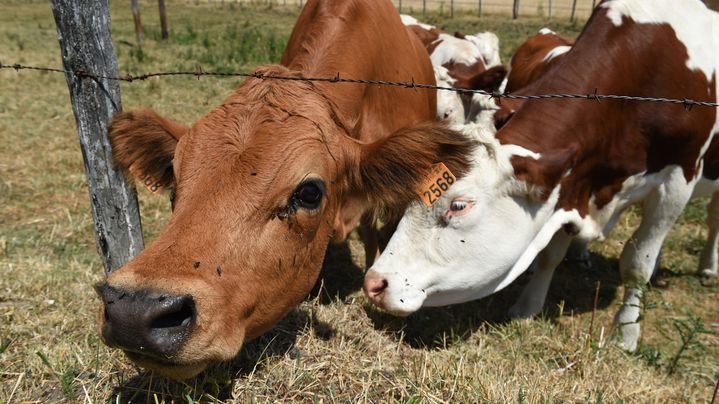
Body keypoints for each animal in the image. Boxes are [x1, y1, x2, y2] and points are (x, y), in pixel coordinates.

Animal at [366, 0, 719, 352]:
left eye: (459, 206)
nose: (374, 282)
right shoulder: (570, 183)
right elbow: (550, 253)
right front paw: (528, 305)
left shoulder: (677, 181)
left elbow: (636, 265)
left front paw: (626, 332)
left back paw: (707, 267)